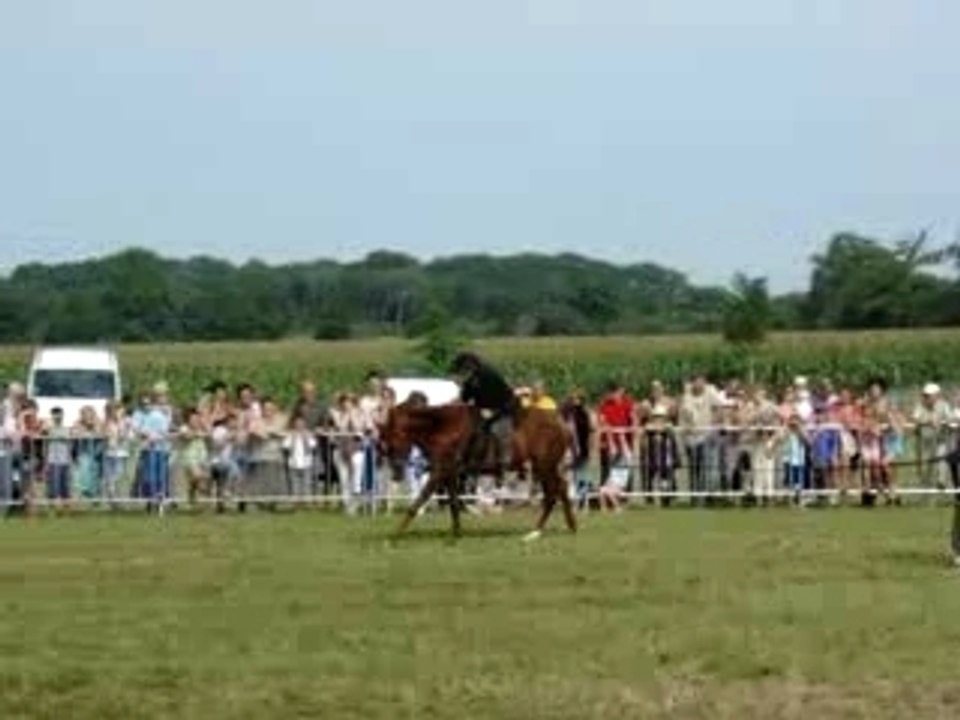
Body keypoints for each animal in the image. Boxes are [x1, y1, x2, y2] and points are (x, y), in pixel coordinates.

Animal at [379, 400, 577, 540]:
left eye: (391, 436)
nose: (395, 468)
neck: (443, 429)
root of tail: (561, 424)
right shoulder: (449, 474)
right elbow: (453, 503)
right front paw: (456, 533)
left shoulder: (440, 471)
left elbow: (419, 500)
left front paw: (396, 535)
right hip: (544, 467)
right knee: (561, 488)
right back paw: (569, 526)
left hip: (544, 466)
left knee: (552, 493)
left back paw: (535, 532)